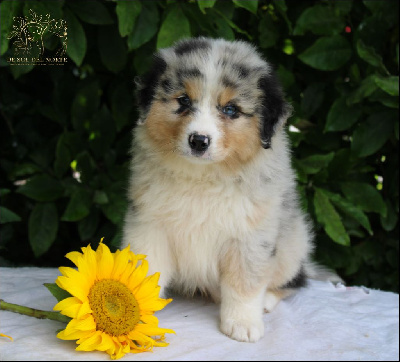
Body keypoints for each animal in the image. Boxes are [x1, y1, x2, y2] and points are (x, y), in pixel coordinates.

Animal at [123, 37, 330, 342]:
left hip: (293, 245)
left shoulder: (250, 235)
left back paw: (267, 300)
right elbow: (147, 273)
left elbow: (244, 283)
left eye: (230, 109)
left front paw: (242, 324)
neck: (204, 177)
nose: (199, 141)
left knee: (294, 281)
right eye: (183, 101)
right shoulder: (150, 226)